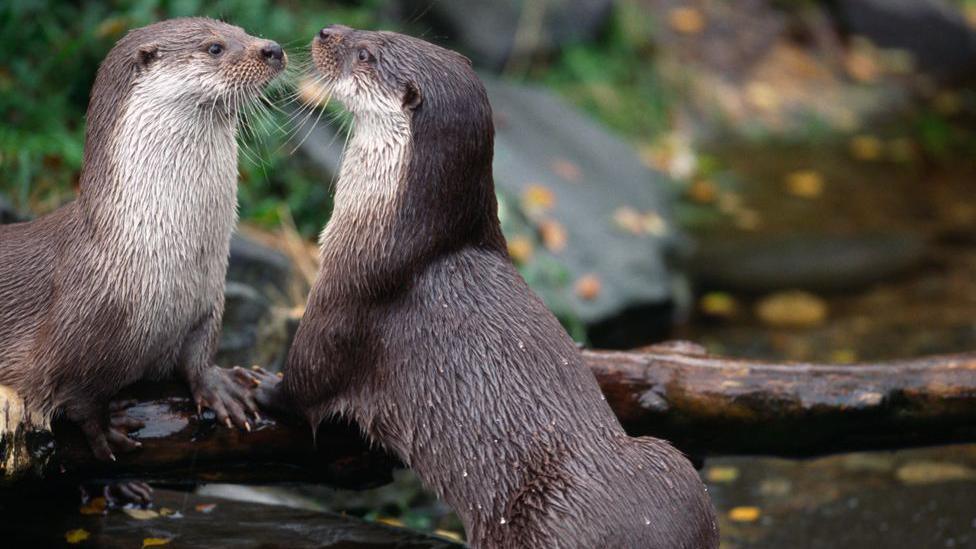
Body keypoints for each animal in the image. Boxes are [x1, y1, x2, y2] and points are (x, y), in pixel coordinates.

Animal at [0, 17, 286, 460]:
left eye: (243, 31)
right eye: (215, 47)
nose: (272, 49)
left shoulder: (206, 298)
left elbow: (200, 352)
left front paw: (221, 386)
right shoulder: (74, 325)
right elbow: (73, 390)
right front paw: (105, 429)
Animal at [240, 26, 716, 548]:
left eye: (364, 53)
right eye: (388, 33)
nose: (327, 32)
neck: (392, 231)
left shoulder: (350, 295)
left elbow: (311, 377)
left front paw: (260, 385)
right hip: (672, 465)